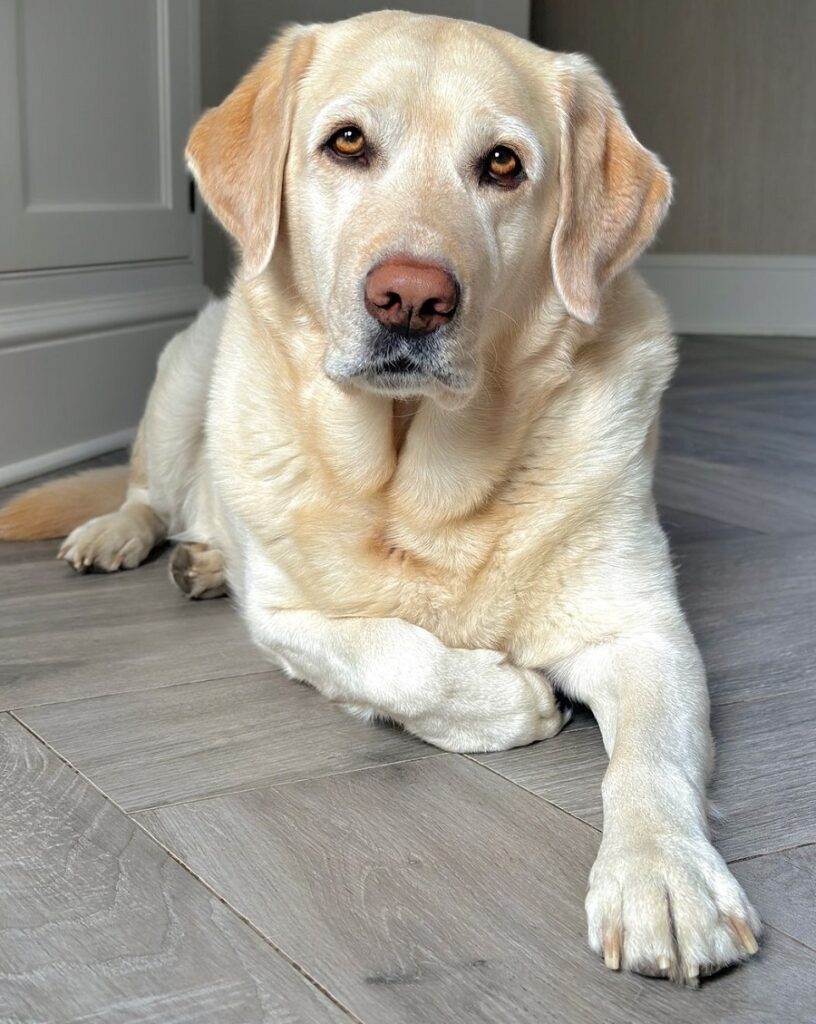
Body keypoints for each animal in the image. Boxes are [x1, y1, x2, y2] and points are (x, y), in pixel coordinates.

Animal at [3, 9, 761, 983]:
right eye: (348, 142)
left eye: (503, 164)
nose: (411, 299)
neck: (415, 486)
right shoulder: (286, 618)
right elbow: (400, 658)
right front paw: (518, 700)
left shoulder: (642, 630)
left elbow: (652, 758)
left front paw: (662, 876)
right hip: (182, 378)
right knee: (147, 491)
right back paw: (127, 537)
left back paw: (200, 562)